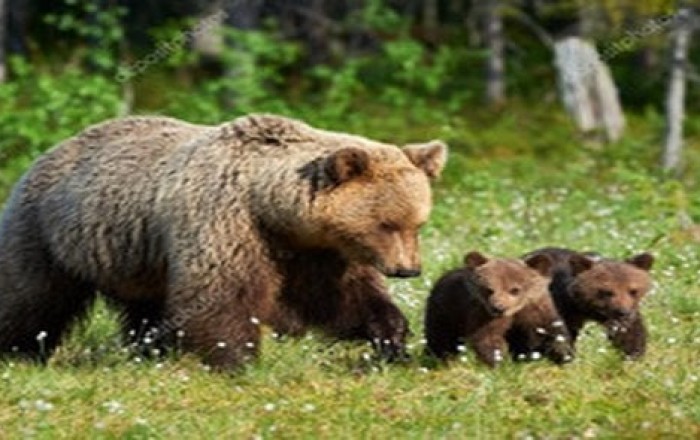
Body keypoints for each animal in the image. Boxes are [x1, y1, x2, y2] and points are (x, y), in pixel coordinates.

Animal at [0, 113, 448, 369]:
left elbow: (340, 296)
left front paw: (391, 335)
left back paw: (150, 351)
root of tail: (50, 151)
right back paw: (18, 351)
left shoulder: (314, 249)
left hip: (137, 254)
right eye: (386, 224)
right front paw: (238, 359)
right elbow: (222, 292)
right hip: (50, 232)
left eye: (417, 223)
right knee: (31, 297)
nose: (409, 269)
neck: (268, 205)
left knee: (147, 308)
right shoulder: (223, 219)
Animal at [423, 250, 572, 367]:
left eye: (515, 289)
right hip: (444, 314)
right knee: (441, 339)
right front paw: (500, 363)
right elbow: (488, 338)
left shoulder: (536, 309)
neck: (515, 311)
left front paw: (564, 354)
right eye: (489, 289)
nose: (498, 307)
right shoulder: (483, 315)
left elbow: (552, 332)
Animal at [521, 247, 654, 359]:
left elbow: (630, 332)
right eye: (607, 292)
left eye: (633, 291)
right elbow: (558, 333)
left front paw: (633, 354)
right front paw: (566, 355)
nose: (622, 312)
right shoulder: (559, 304)